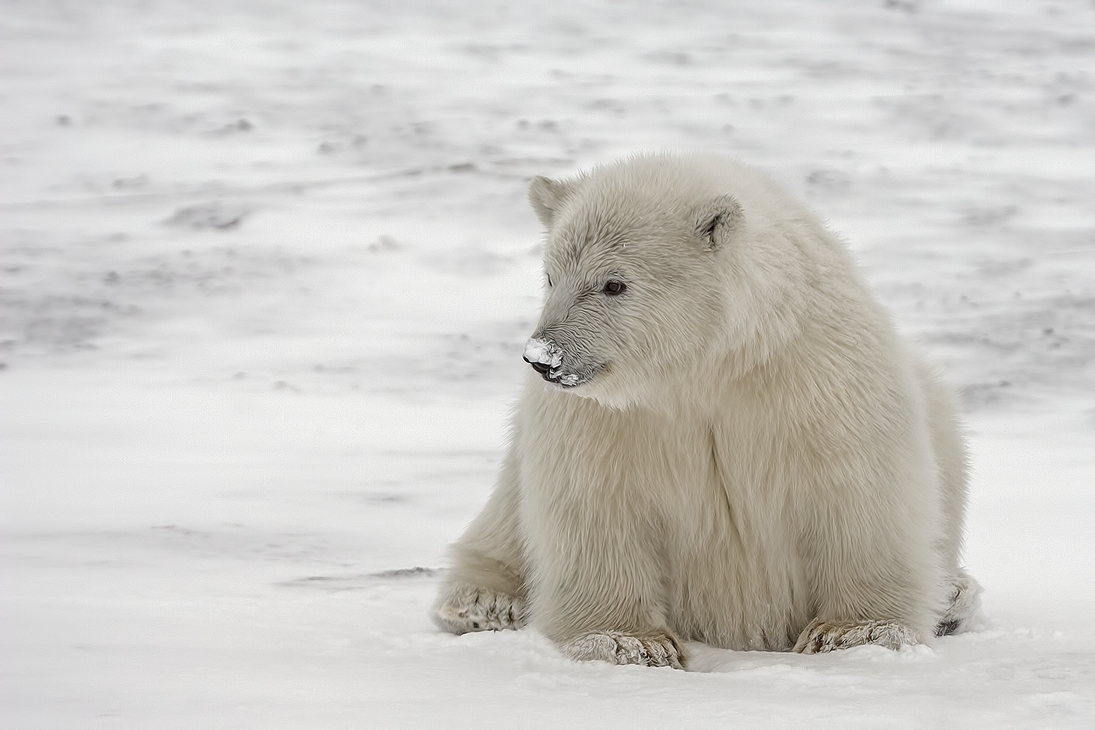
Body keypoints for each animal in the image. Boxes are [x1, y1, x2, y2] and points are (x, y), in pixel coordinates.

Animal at [432, 152, 980, 669]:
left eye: (614, 284)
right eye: (550, 277)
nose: (543, 357)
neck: (704, 369)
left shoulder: (814, 373)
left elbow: (856, 488)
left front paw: (852, 632)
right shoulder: (605, 417)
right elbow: (597, 502)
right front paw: (628, 642)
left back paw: (953, 597)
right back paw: (484, 603)